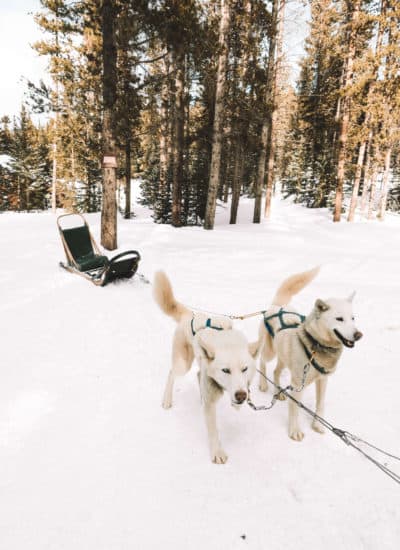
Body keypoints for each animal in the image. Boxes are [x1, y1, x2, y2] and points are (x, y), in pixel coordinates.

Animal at [153, 272, 260, 466]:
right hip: (183, 364)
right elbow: (213, 430)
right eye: (225, 370)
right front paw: (217, 452)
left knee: (197, 374)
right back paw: (167, 399)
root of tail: (189, 315)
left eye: (245, 369)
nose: (241, 396)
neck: (227, 343)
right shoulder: (211, 402)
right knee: (172, 373)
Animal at [258, 268, 364, 444]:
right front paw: (294, 431)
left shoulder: (322, 380)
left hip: (283, 357)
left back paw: (279, 392)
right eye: (339, 319)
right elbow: (294, 408)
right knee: (261, 361)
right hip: (270, 352)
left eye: (353, 318)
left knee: (276, 371)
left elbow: (320, 404)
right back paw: (263, 385)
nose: (358, 335)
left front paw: (317, 425)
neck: (316, 346)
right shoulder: (297, 384)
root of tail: (278, 306)